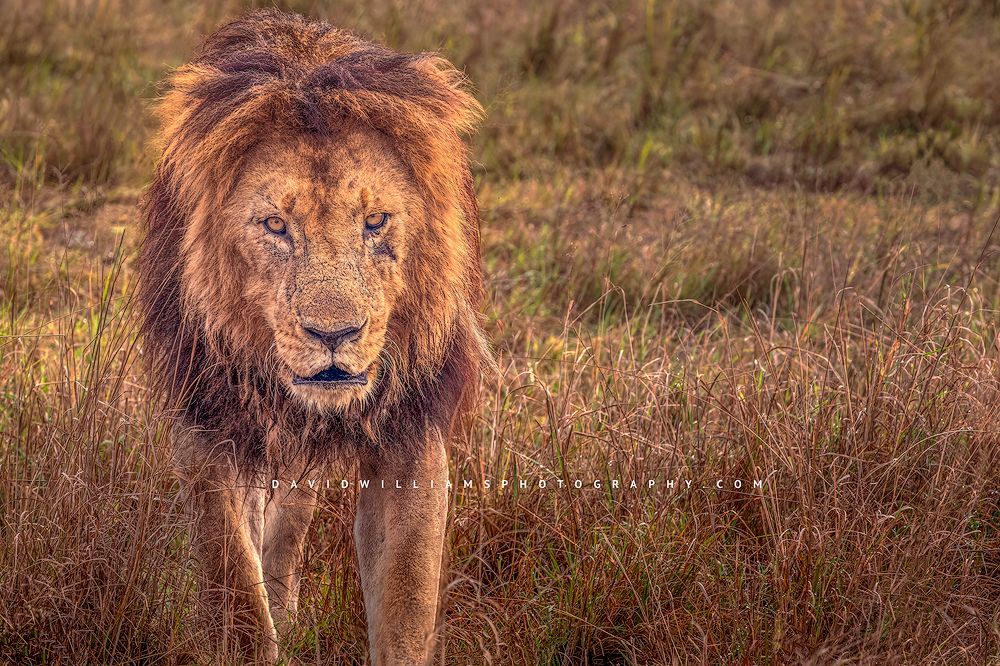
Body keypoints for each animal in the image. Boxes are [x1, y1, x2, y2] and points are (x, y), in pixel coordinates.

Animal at [138, 10, 488, 664]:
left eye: (375, 222)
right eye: (276, 225)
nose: (334, 334)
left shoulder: (411, 433)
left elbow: (406, 605)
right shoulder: (206, 429)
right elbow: (234, 591)